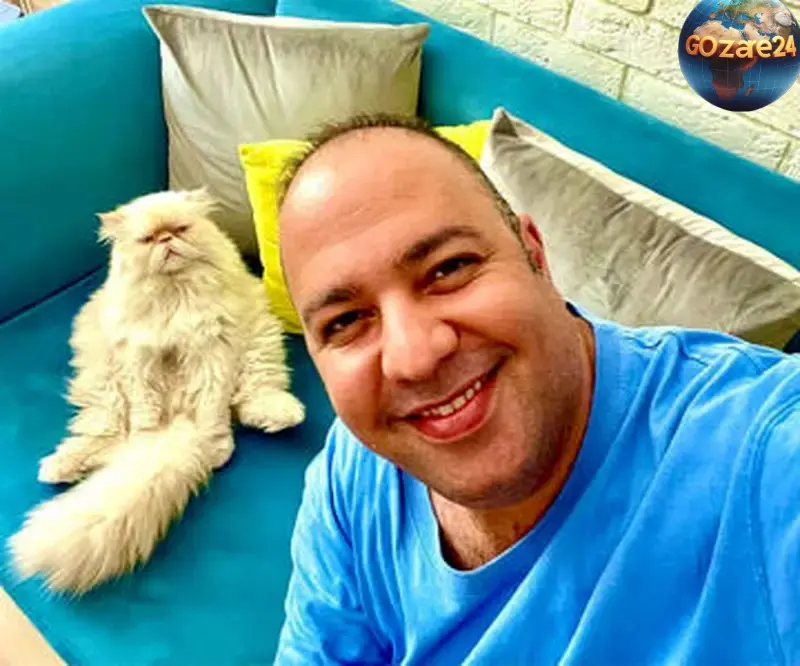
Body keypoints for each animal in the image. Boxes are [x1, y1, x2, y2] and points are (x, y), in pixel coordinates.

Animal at [8, 188, 305, 594]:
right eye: (148, 239)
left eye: (180, 229)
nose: (166, 241)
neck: (173, 294)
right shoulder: (138, 359)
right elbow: (145, 413)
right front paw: (154, 441)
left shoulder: (211, 353)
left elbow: (212, 411)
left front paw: (216, 452)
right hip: (105, 384)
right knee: (109, 439)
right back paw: (60, 467)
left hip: (261, 342)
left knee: (255, 397)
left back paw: (281, 416)